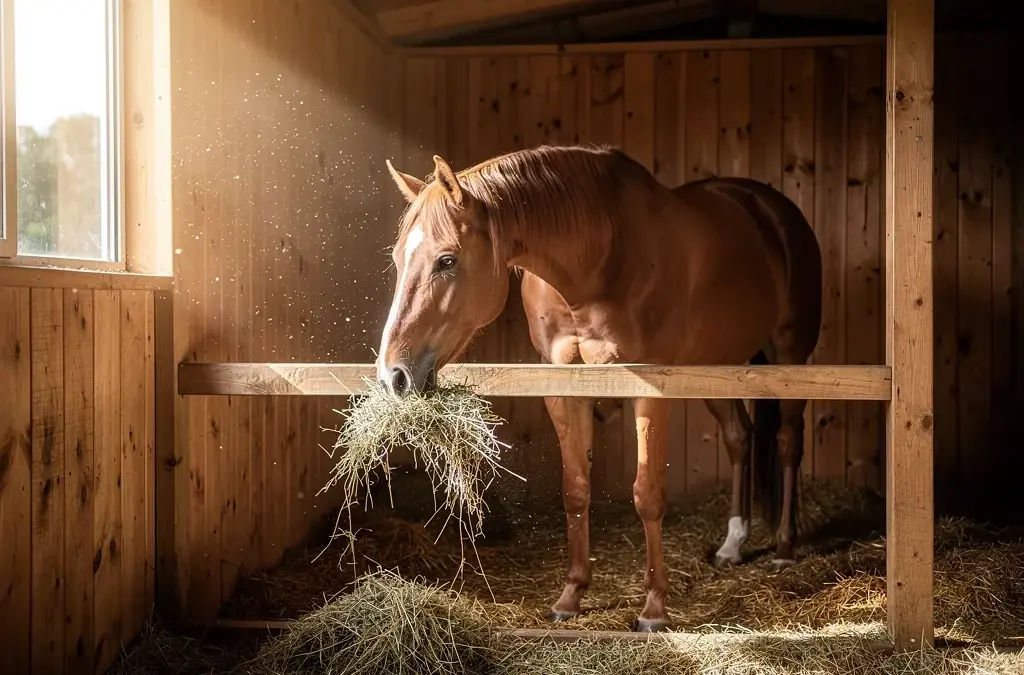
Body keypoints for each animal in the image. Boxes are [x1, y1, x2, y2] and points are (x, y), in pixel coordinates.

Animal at [374, 144, 822, 632]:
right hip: (715, 364)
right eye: (397, 260)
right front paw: (571, 595)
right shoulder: (562, 383)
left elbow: (647, 494)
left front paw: (654, 608)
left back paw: (784, 548)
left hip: (789, 354)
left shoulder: (650, 387)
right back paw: (732, 544)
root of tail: (768, 207)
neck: (597, 257)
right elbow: (575, 488)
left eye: (447, 260)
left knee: (788, 441)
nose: (393, 375)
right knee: (740, 437)